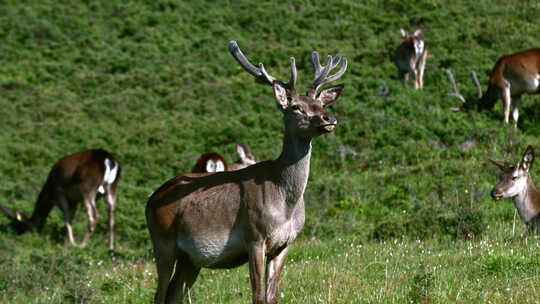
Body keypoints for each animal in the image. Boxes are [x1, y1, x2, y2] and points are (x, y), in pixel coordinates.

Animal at [144, 41, 346, 304]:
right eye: (296, 107)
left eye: (321, 104)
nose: (329, 117)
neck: (286, 203)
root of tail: (151, 198)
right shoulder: (255, 236)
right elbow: (258, 296)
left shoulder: (285, 244)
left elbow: (272, 296)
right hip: (163, 243)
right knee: (159, 294)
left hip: (191, 259)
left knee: (174, 293)